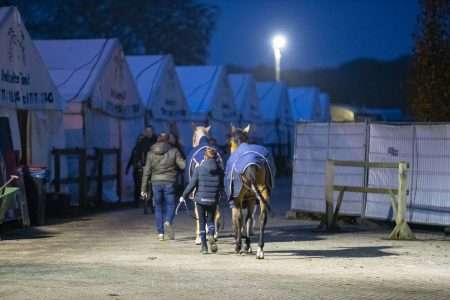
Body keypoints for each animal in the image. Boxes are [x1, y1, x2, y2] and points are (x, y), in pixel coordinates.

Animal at [225, 123, 274, 258]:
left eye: (230, 142)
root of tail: (252, 163)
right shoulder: (251, 199)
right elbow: (248, 219)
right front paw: (247, 245)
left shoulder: (236, 200)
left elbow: (238, 220)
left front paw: (240, 245)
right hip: (263, 191)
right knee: (262, 217)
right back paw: (260, 249)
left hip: (238, 196)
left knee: (240, 218)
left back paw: (239, 246)